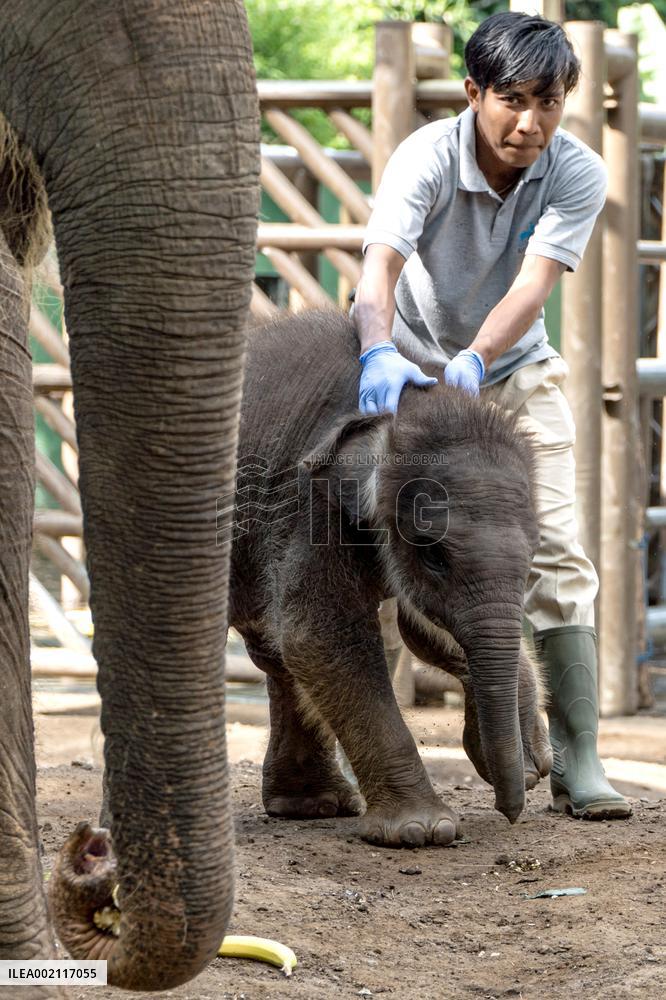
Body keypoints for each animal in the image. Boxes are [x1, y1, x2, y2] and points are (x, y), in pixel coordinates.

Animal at [228, 308, 552, 847]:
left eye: (534, 555)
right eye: (435, 556)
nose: (511, 813)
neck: (409, 407)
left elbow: (421, 627)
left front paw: (528, 757)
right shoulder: (306, 504)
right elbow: (321, 634)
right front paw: (422, 831)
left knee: (272, 652)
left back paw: (312, 807)